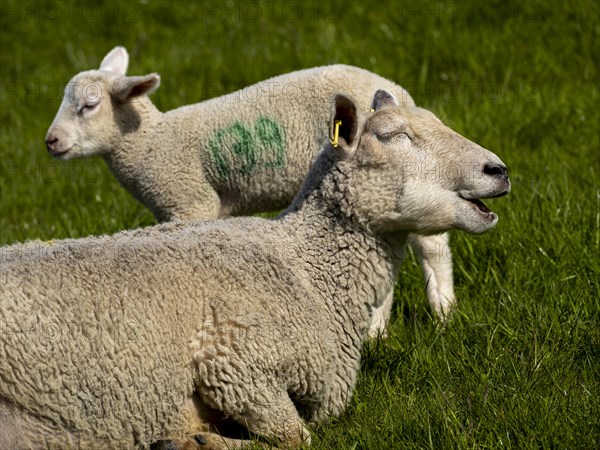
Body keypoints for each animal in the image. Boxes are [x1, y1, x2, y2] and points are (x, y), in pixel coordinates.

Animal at [1, 89, 510, 448]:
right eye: (394, 136)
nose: (499, 170)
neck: (306, 265)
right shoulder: (235, 360)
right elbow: (296, 437)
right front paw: (199, 443)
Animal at [43, 46, 454, 334]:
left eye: (89, 106)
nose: (50, 141)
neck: (149, 143)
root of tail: (401, 95)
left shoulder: (191, 200)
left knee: (431, 246)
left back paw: (435, 314)